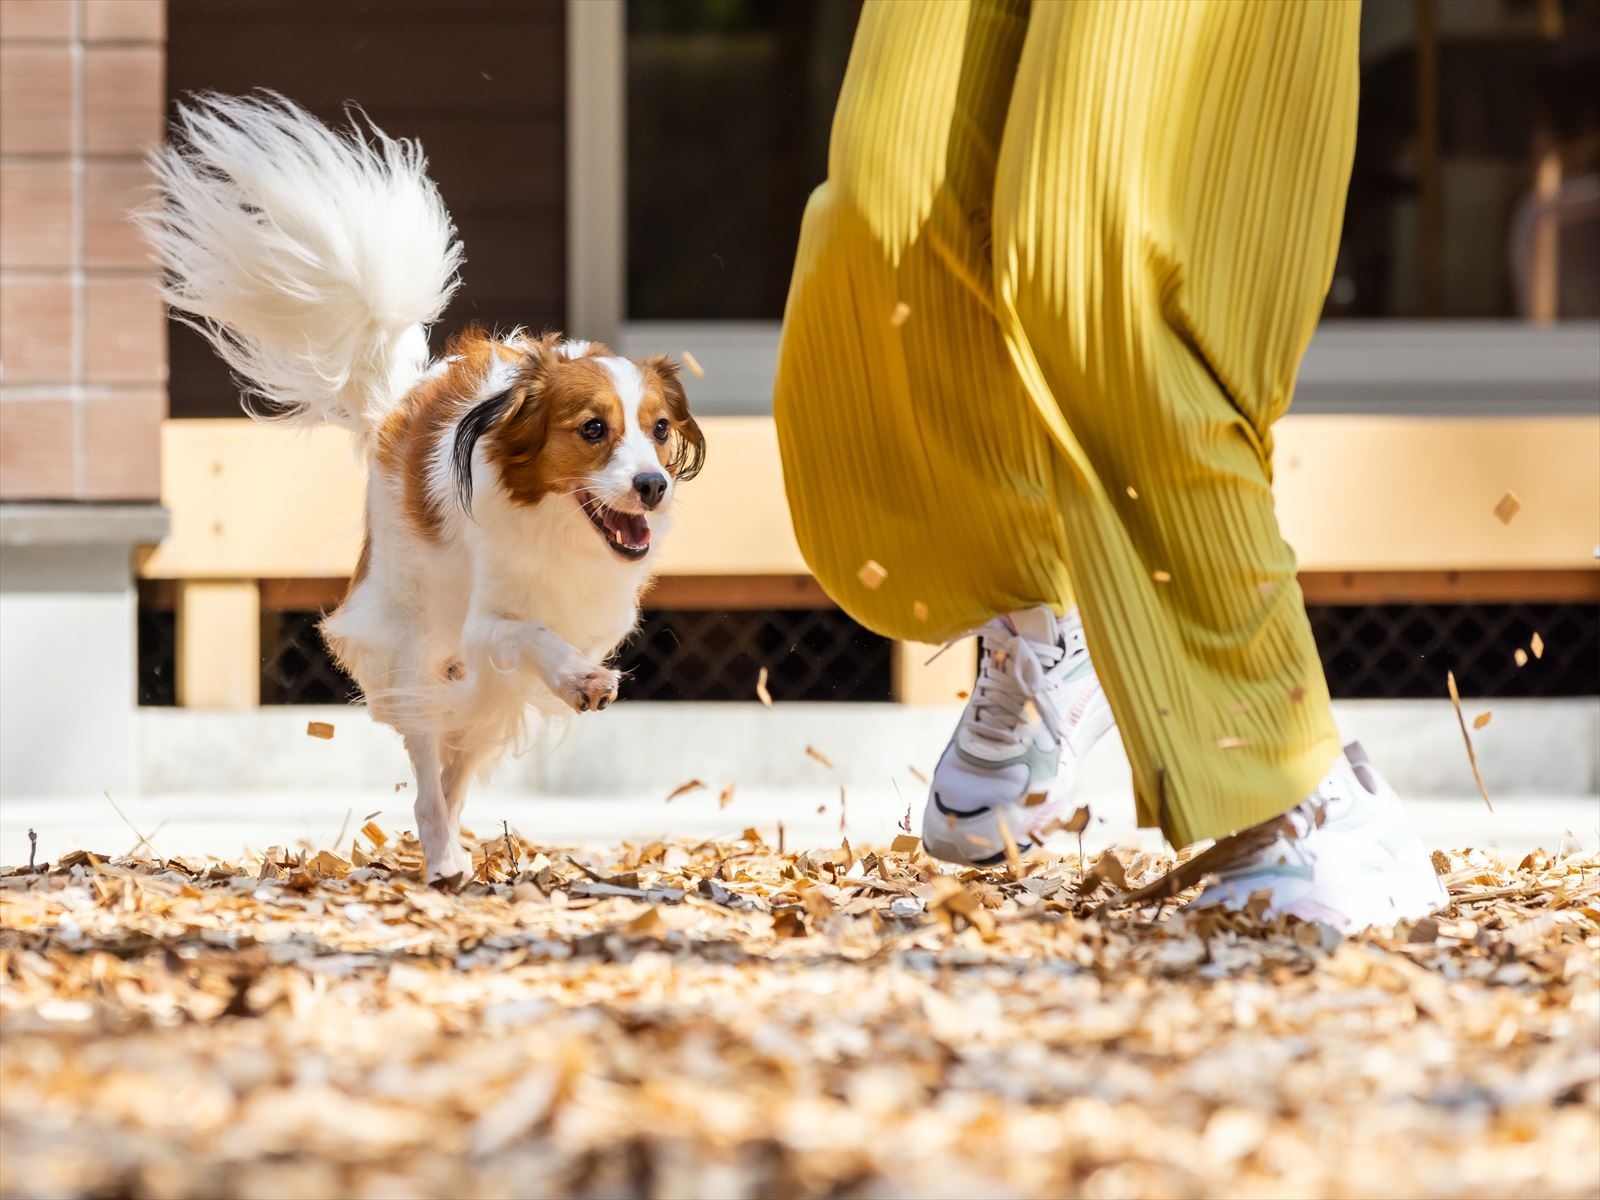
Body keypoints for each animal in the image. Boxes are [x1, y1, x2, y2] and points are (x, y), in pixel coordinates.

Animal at [140, 94, 704, 883]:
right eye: (594, 430)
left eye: (658, 429)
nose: (652, 486)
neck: (557, 530)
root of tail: (399, 401)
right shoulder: (486, 625)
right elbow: (530, 636)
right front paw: (577, 679)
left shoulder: (566, 630)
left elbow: (538, 662)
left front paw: (577, 677)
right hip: (413, 637)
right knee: (430, 773)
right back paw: (441, 858)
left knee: (456, 762)